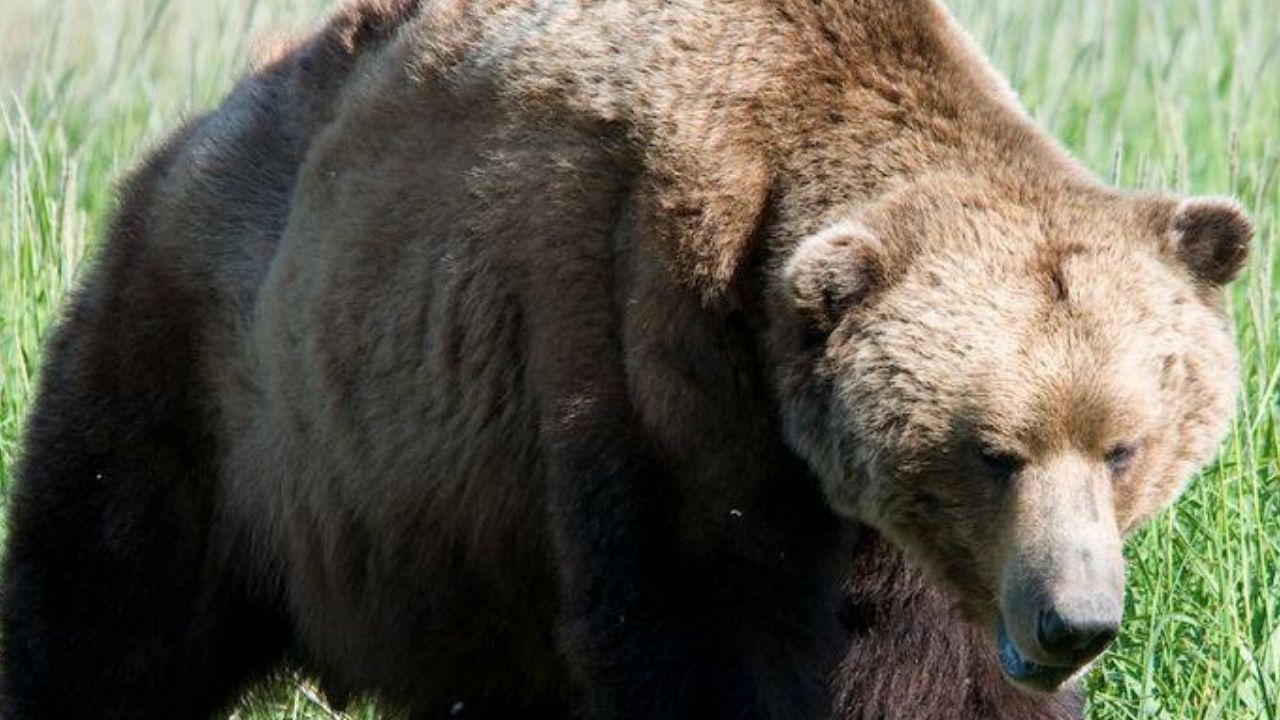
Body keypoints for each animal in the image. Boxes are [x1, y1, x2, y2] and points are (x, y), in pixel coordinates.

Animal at [0, 0, 1250, 718]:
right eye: (992, 451)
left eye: (1123, 446)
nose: (1072, 622)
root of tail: (190, 134)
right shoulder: (644, 355)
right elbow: (699, 630)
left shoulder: (875, 529)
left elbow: (939, 666)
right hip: (224, 388)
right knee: (106, 604)